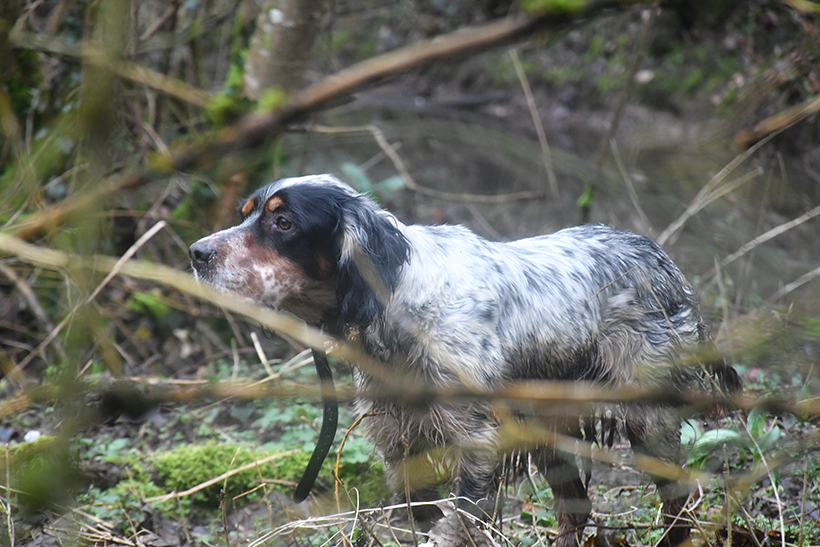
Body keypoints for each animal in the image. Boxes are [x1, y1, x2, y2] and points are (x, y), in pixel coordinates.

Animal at [189, 176, 740, 547]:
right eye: (245, 213)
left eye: (283, 222)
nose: (196, 253)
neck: (397, 304)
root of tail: (658, 255)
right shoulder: (402, 443)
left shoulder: (477, 443)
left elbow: (457, 525)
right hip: (548, 430)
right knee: (577, 511)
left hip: (649, 419)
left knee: (678, 506)